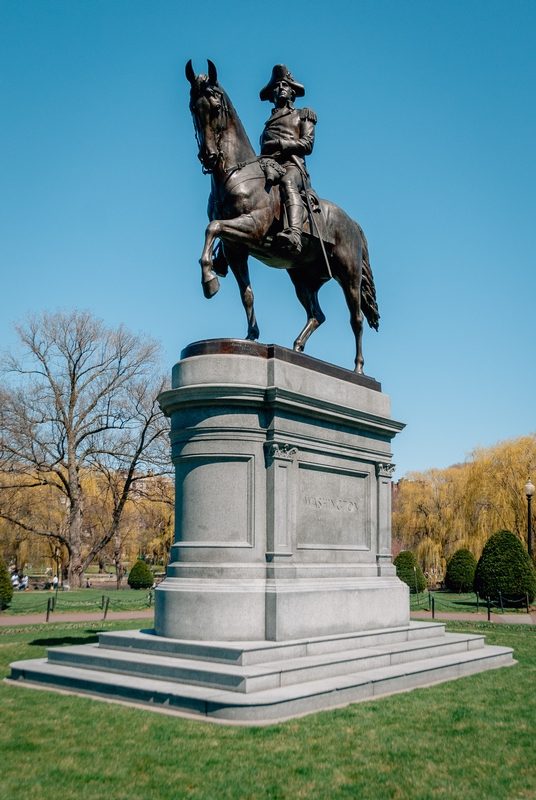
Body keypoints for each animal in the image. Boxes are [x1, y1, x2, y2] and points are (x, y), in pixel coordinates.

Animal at [186, 61, 378, 374]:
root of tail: (353, 223)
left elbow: (211, 227)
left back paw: (359, 368)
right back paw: (297, 348)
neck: (234, 175)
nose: (208, 156)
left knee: (356, 319)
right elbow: (246, 293)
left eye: (215, 107)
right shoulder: (236, 248)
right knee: (317, 314)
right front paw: (251, 335)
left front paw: (209, 282)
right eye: (193, 107)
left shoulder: (251, 228)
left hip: (348, 276)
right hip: (302, 276)